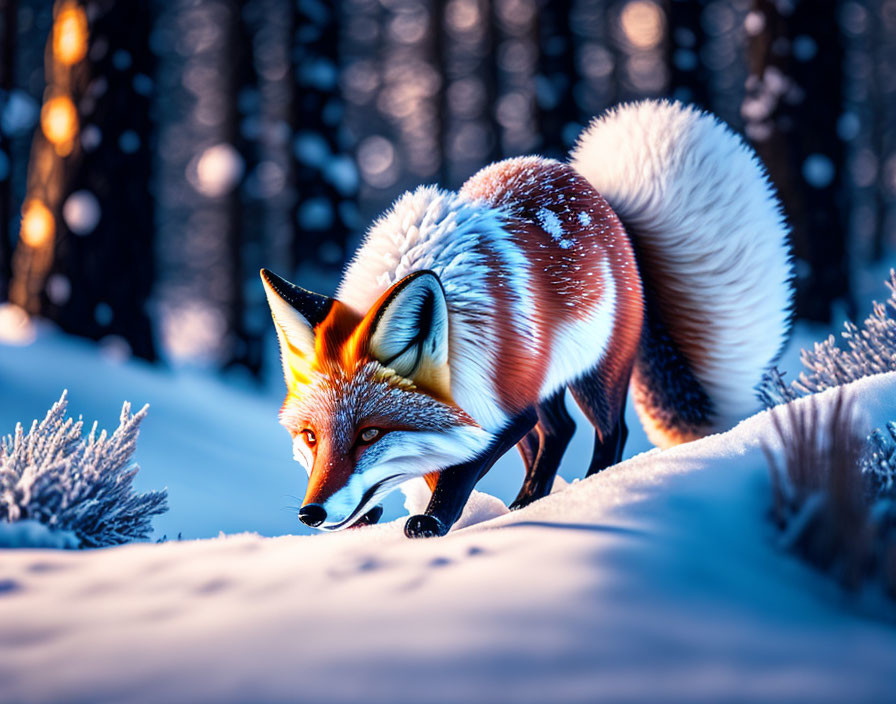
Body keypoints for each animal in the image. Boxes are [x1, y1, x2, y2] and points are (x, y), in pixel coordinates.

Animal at [262, 100, 796, 540]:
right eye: (311, 437)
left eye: (370, 434)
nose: (310, 514)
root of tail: (598, 196)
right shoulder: (488, 406)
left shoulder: (504, 415)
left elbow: (456, 470)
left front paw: (433, 523)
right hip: (542, 381)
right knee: (559, 431)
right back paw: (527, 501)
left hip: (592, 377)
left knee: (609, 433)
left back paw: (595, 486)